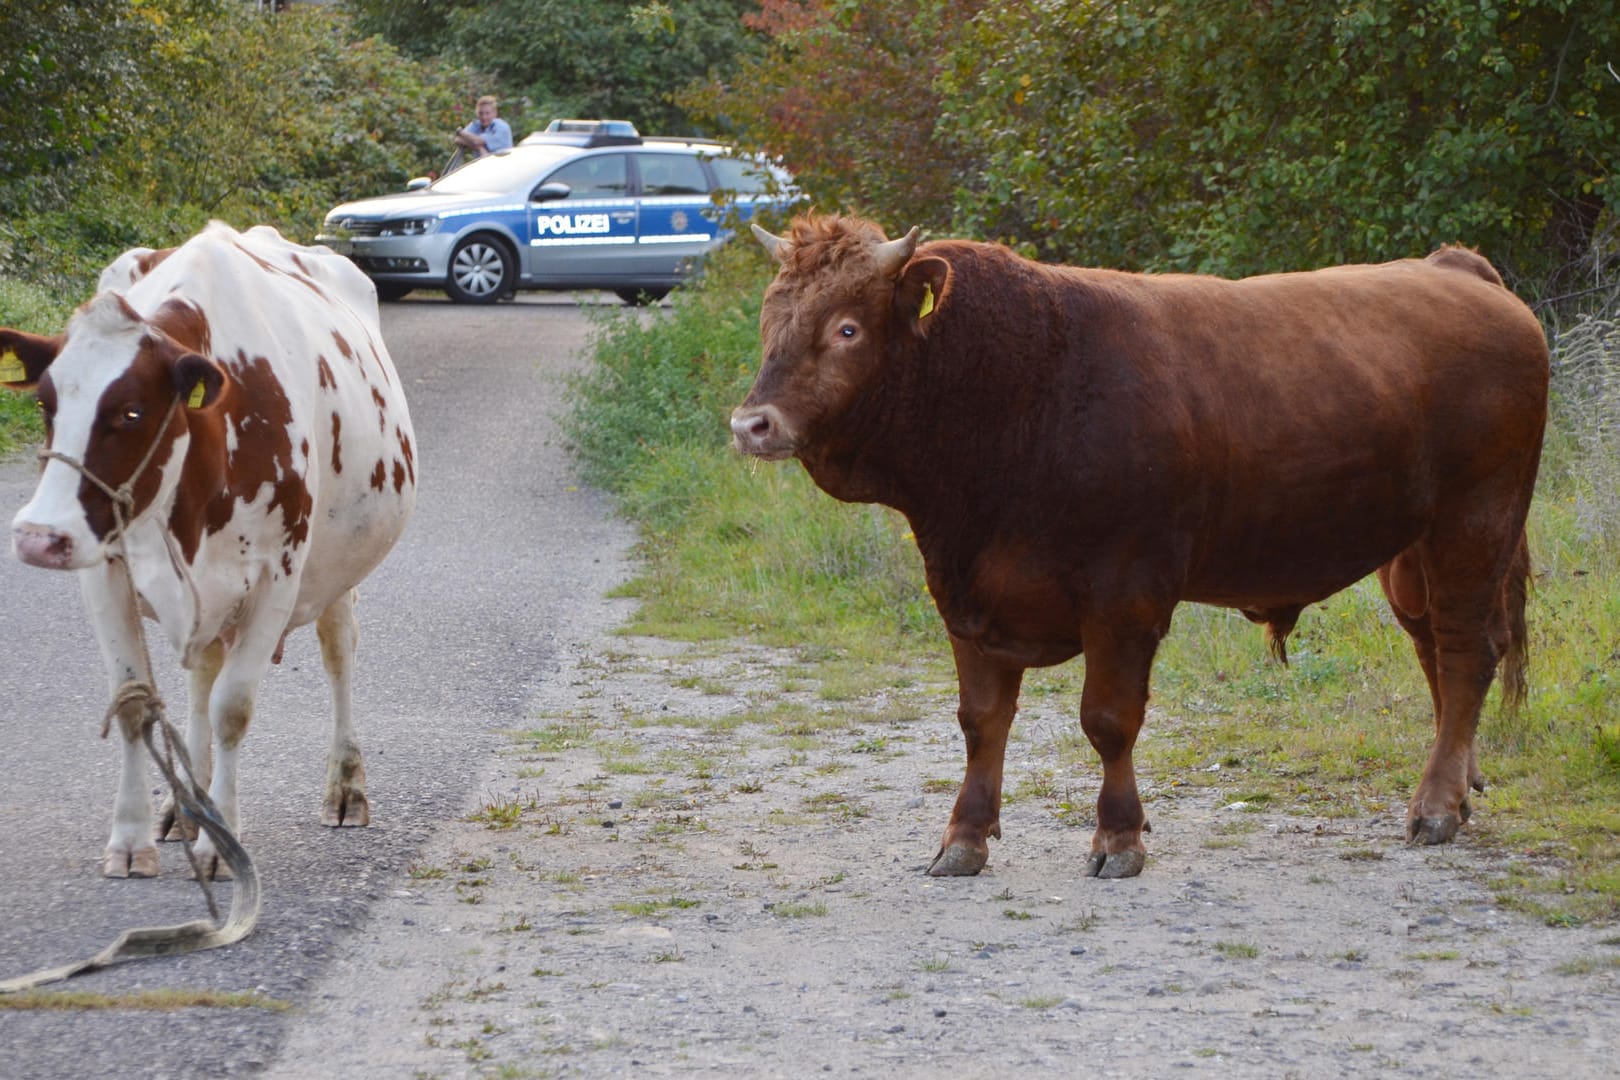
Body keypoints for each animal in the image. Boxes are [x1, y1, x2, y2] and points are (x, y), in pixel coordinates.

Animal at [3, 220, 417, 880]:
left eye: (132, 411)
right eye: (46, 403)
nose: (39, 536)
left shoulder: (277, 577)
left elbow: (232, 710)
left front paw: (221, 849)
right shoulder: (106, 571)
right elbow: (134, 703)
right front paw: (132, 838)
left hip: (337, 572)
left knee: (338, 651)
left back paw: (346, 788)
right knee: (203, 671)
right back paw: (183, 808)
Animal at [732, 215, 1542, 880]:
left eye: (847, 329)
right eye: (772, 317)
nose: (751, 424)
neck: (1022, 391)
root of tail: (1452, 267)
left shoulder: (1124, 595)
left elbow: (1108, 720)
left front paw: (1118, 837)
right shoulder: (966, 596)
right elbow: (981, 720)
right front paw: (964, 837)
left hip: (1476, 521)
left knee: (1467, 650)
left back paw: (1434, 807)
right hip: (1411, 551)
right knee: (1435, 651)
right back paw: (1459, 788)